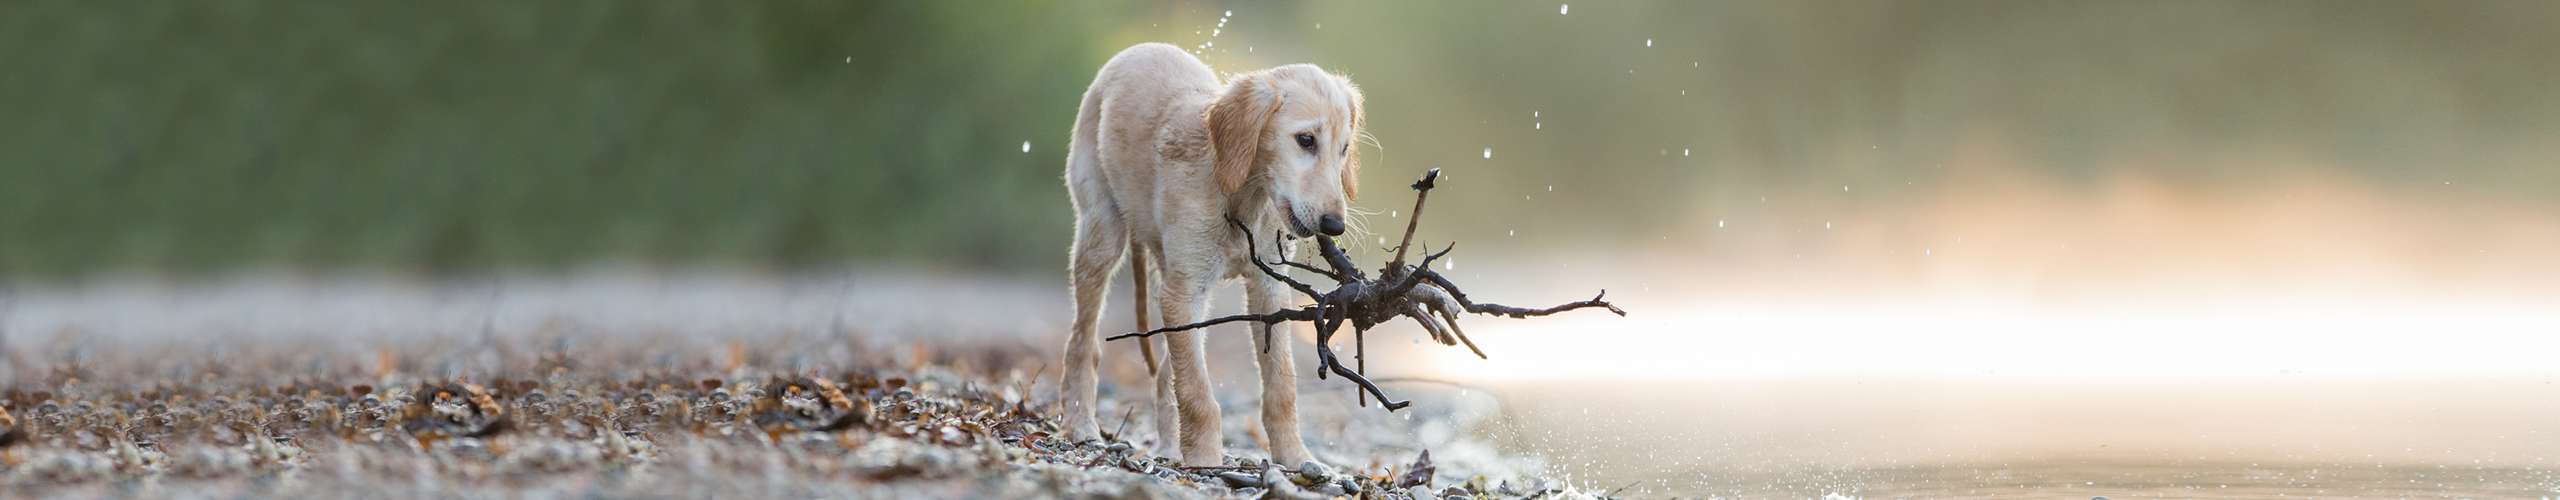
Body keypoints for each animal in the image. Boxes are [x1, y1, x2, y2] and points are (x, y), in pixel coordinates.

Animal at [1049, 43, 1361, 469]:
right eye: (1306, 140)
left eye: (1344, 150)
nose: (1334, 225)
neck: (1242, 193)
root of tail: (1138, 49)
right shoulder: (1185, 293)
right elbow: (1196, 389)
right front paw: (1206, 459)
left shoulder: (1267, 289)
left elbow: (1280, 384)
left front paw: (1294, 456)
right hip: (1102, 231)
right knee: (1084, 341)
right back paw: (1080, 424)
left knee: (1167, 371)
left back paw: (1168, 447)